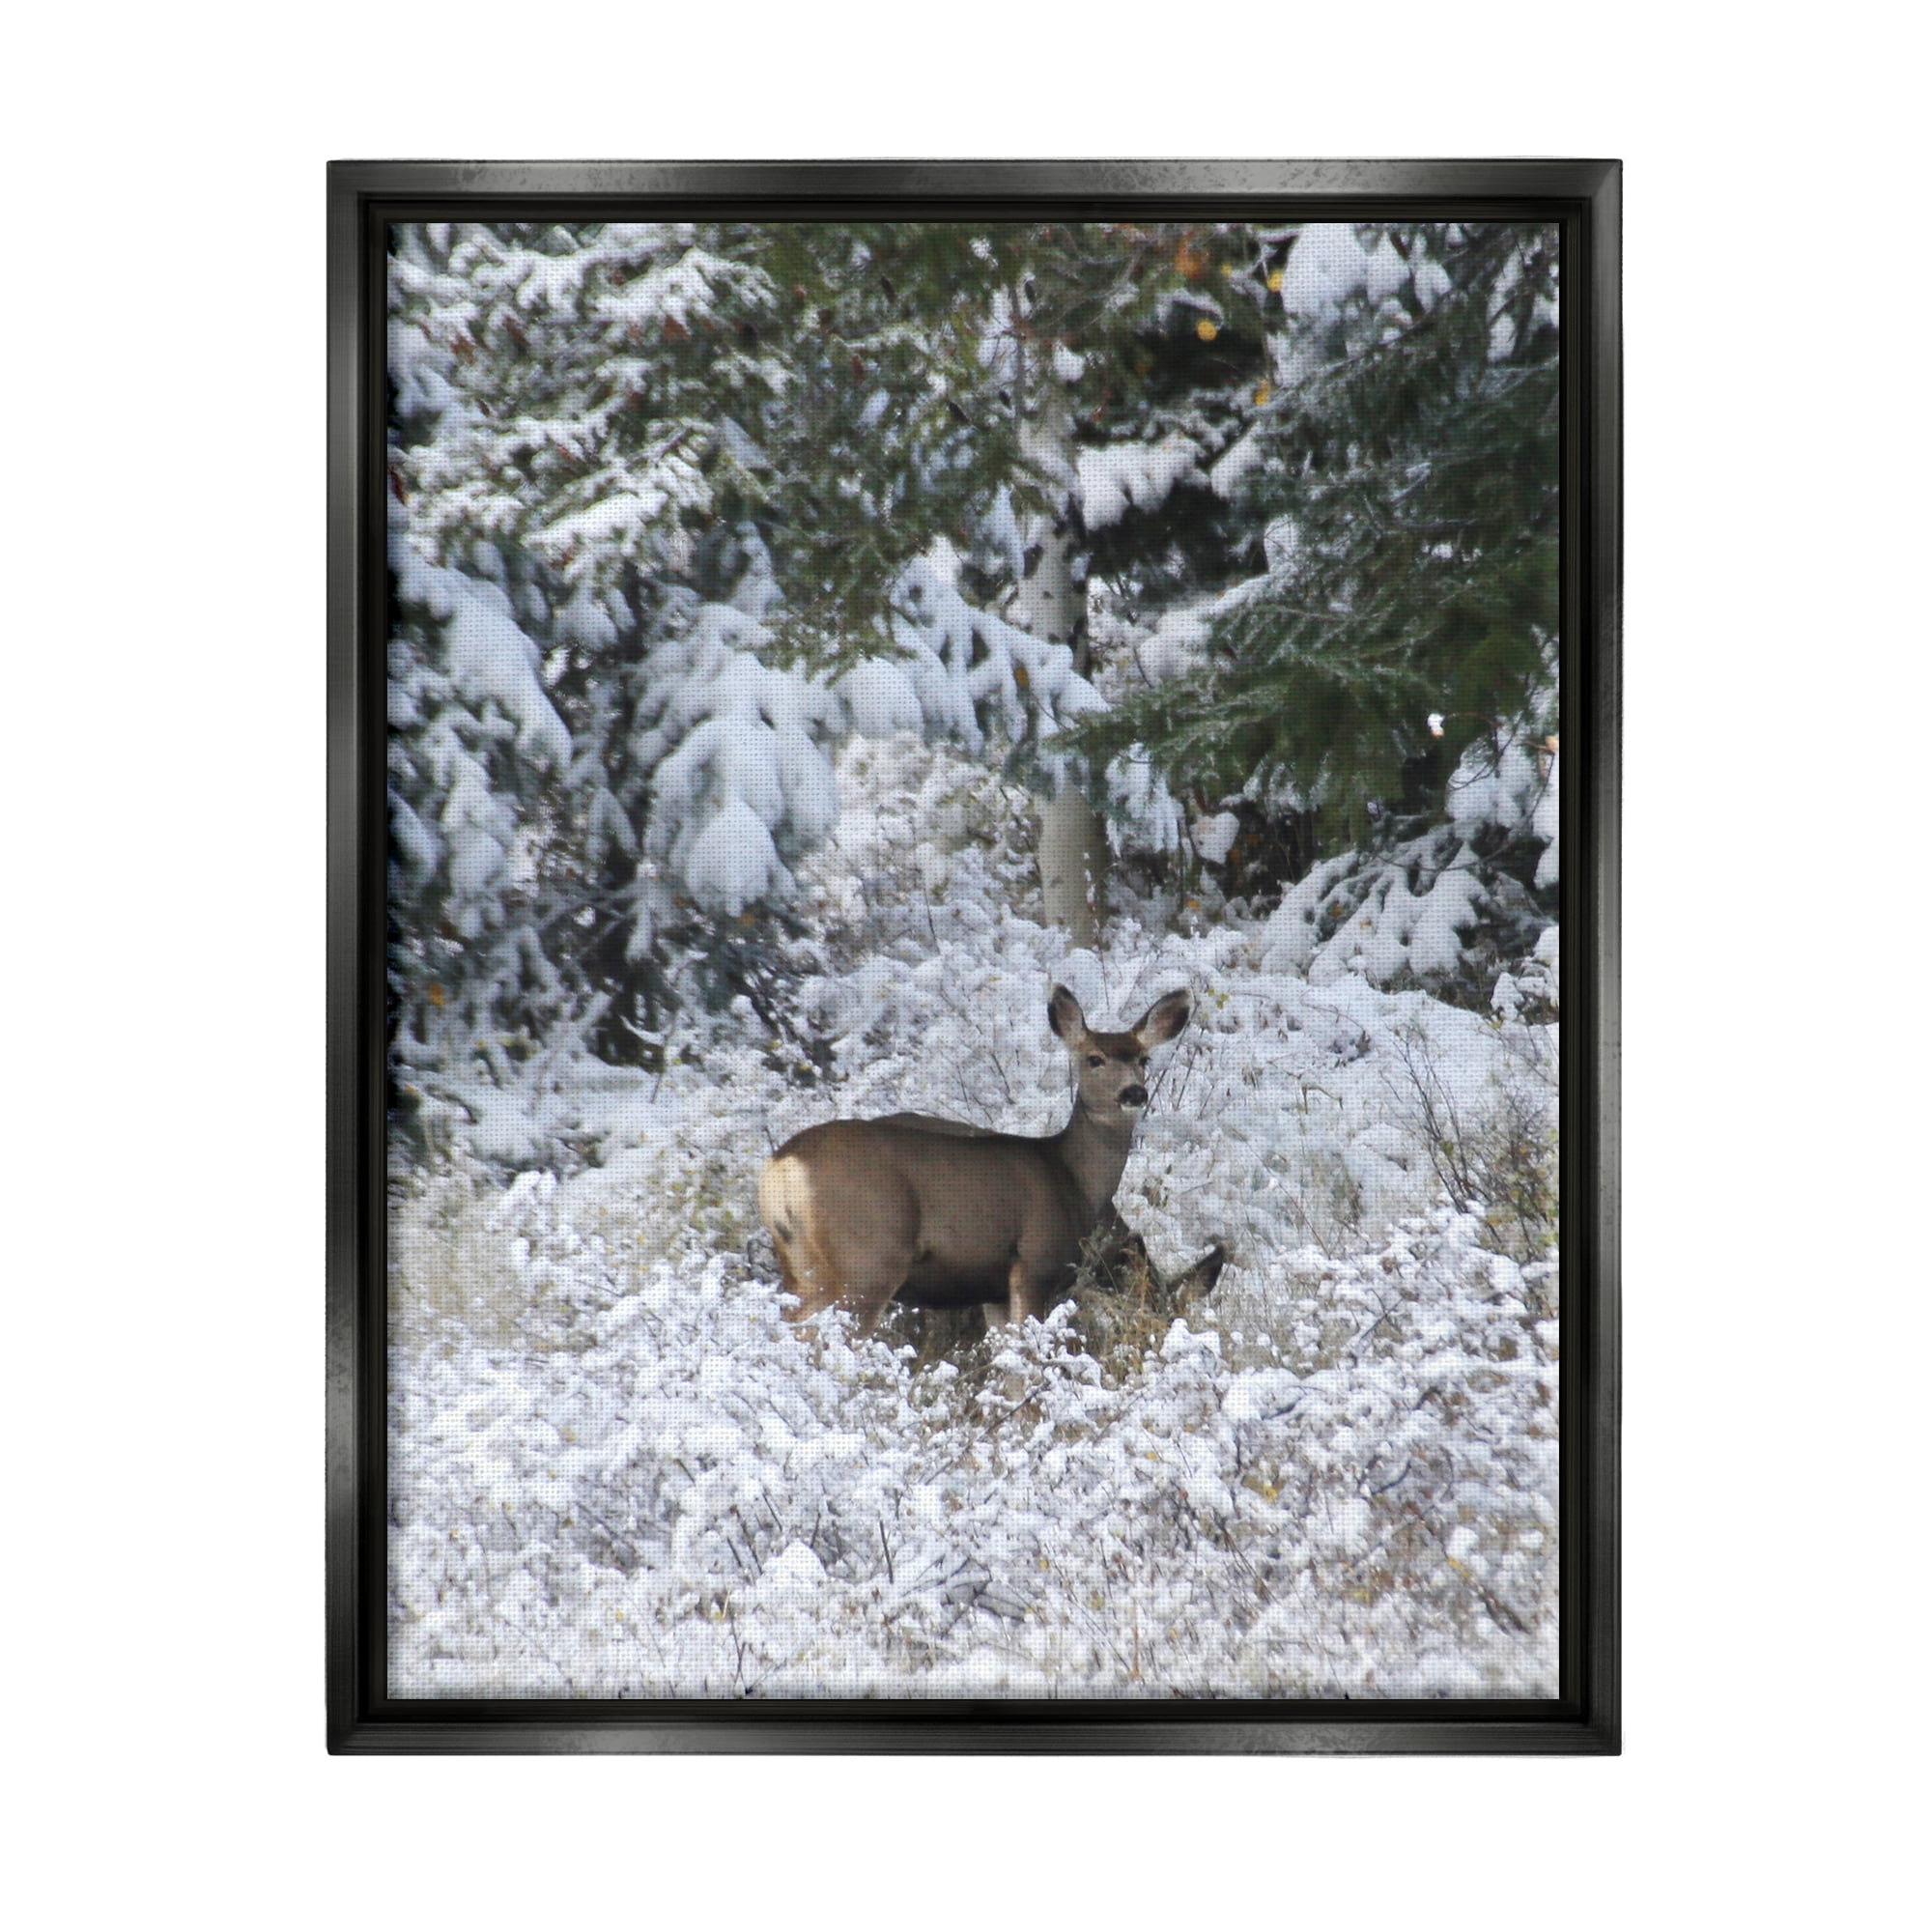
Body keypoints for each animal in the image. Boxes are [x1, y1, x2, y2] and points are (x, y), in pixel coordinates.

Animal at [758, 984, 1195, 1336]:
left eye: (1143, 1059)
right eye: (1094, 1059)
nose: (1134, 1093)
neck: (1074, 1180)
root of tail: (784, 1165)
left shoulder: (994, 1290)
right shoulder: (1034, 1261)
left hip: (800, 1262)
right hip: (869, 1255)